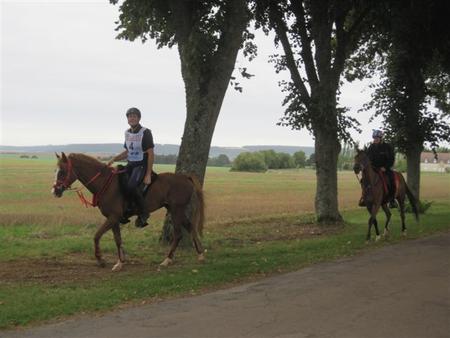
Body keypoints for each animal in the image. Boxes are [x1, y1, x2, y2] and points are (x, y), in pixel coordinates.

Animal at [51, 153, 205, 272]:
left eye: (62, 171)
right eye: (55, 171)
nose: (55, 191)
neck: (105, 183)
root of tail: (185, 177)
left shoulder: (113, 217)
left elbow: (96, 235)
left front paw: (100, 259)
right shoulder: (113, 219)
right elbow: (117, 239)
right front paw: (120, 262)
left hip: (176, 210)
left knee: (178, 234)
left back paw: (167, 260)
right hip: (175, 210)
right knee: (190, 227)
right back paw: (200, 255)